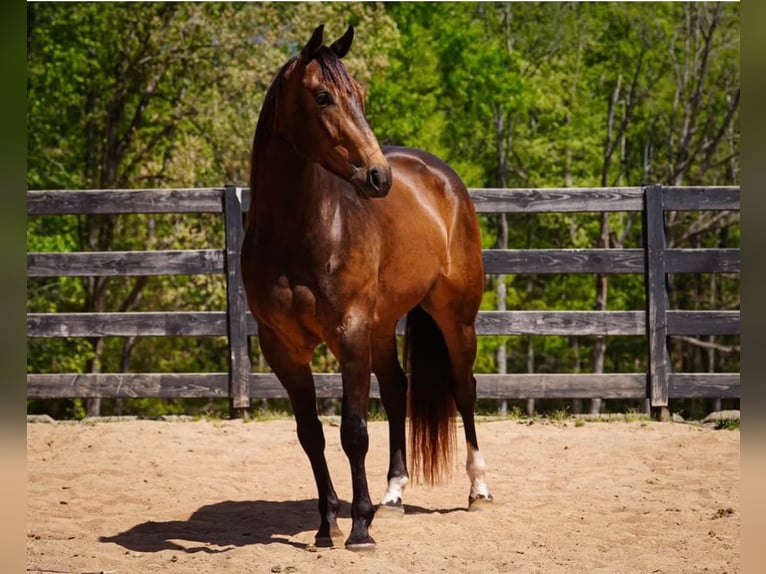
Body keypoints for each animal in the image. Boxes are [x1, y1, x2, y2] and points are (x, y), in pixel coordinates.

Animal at [241, 24, 493, 551]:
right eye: (322, 97)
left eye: (359, 94)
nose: (378, 177)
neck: (301, 231)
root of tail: (439, 175)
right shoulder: (283, 348)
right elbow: (311, 434)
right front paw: (327, 524)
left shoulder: (349, 334)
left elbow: (354, 431)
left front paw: (358, 528)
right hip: (381, 326)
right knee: (397, 390)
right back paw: (392, 495)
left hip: (455, 318)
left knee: (464, 389)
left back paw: (478, 489)